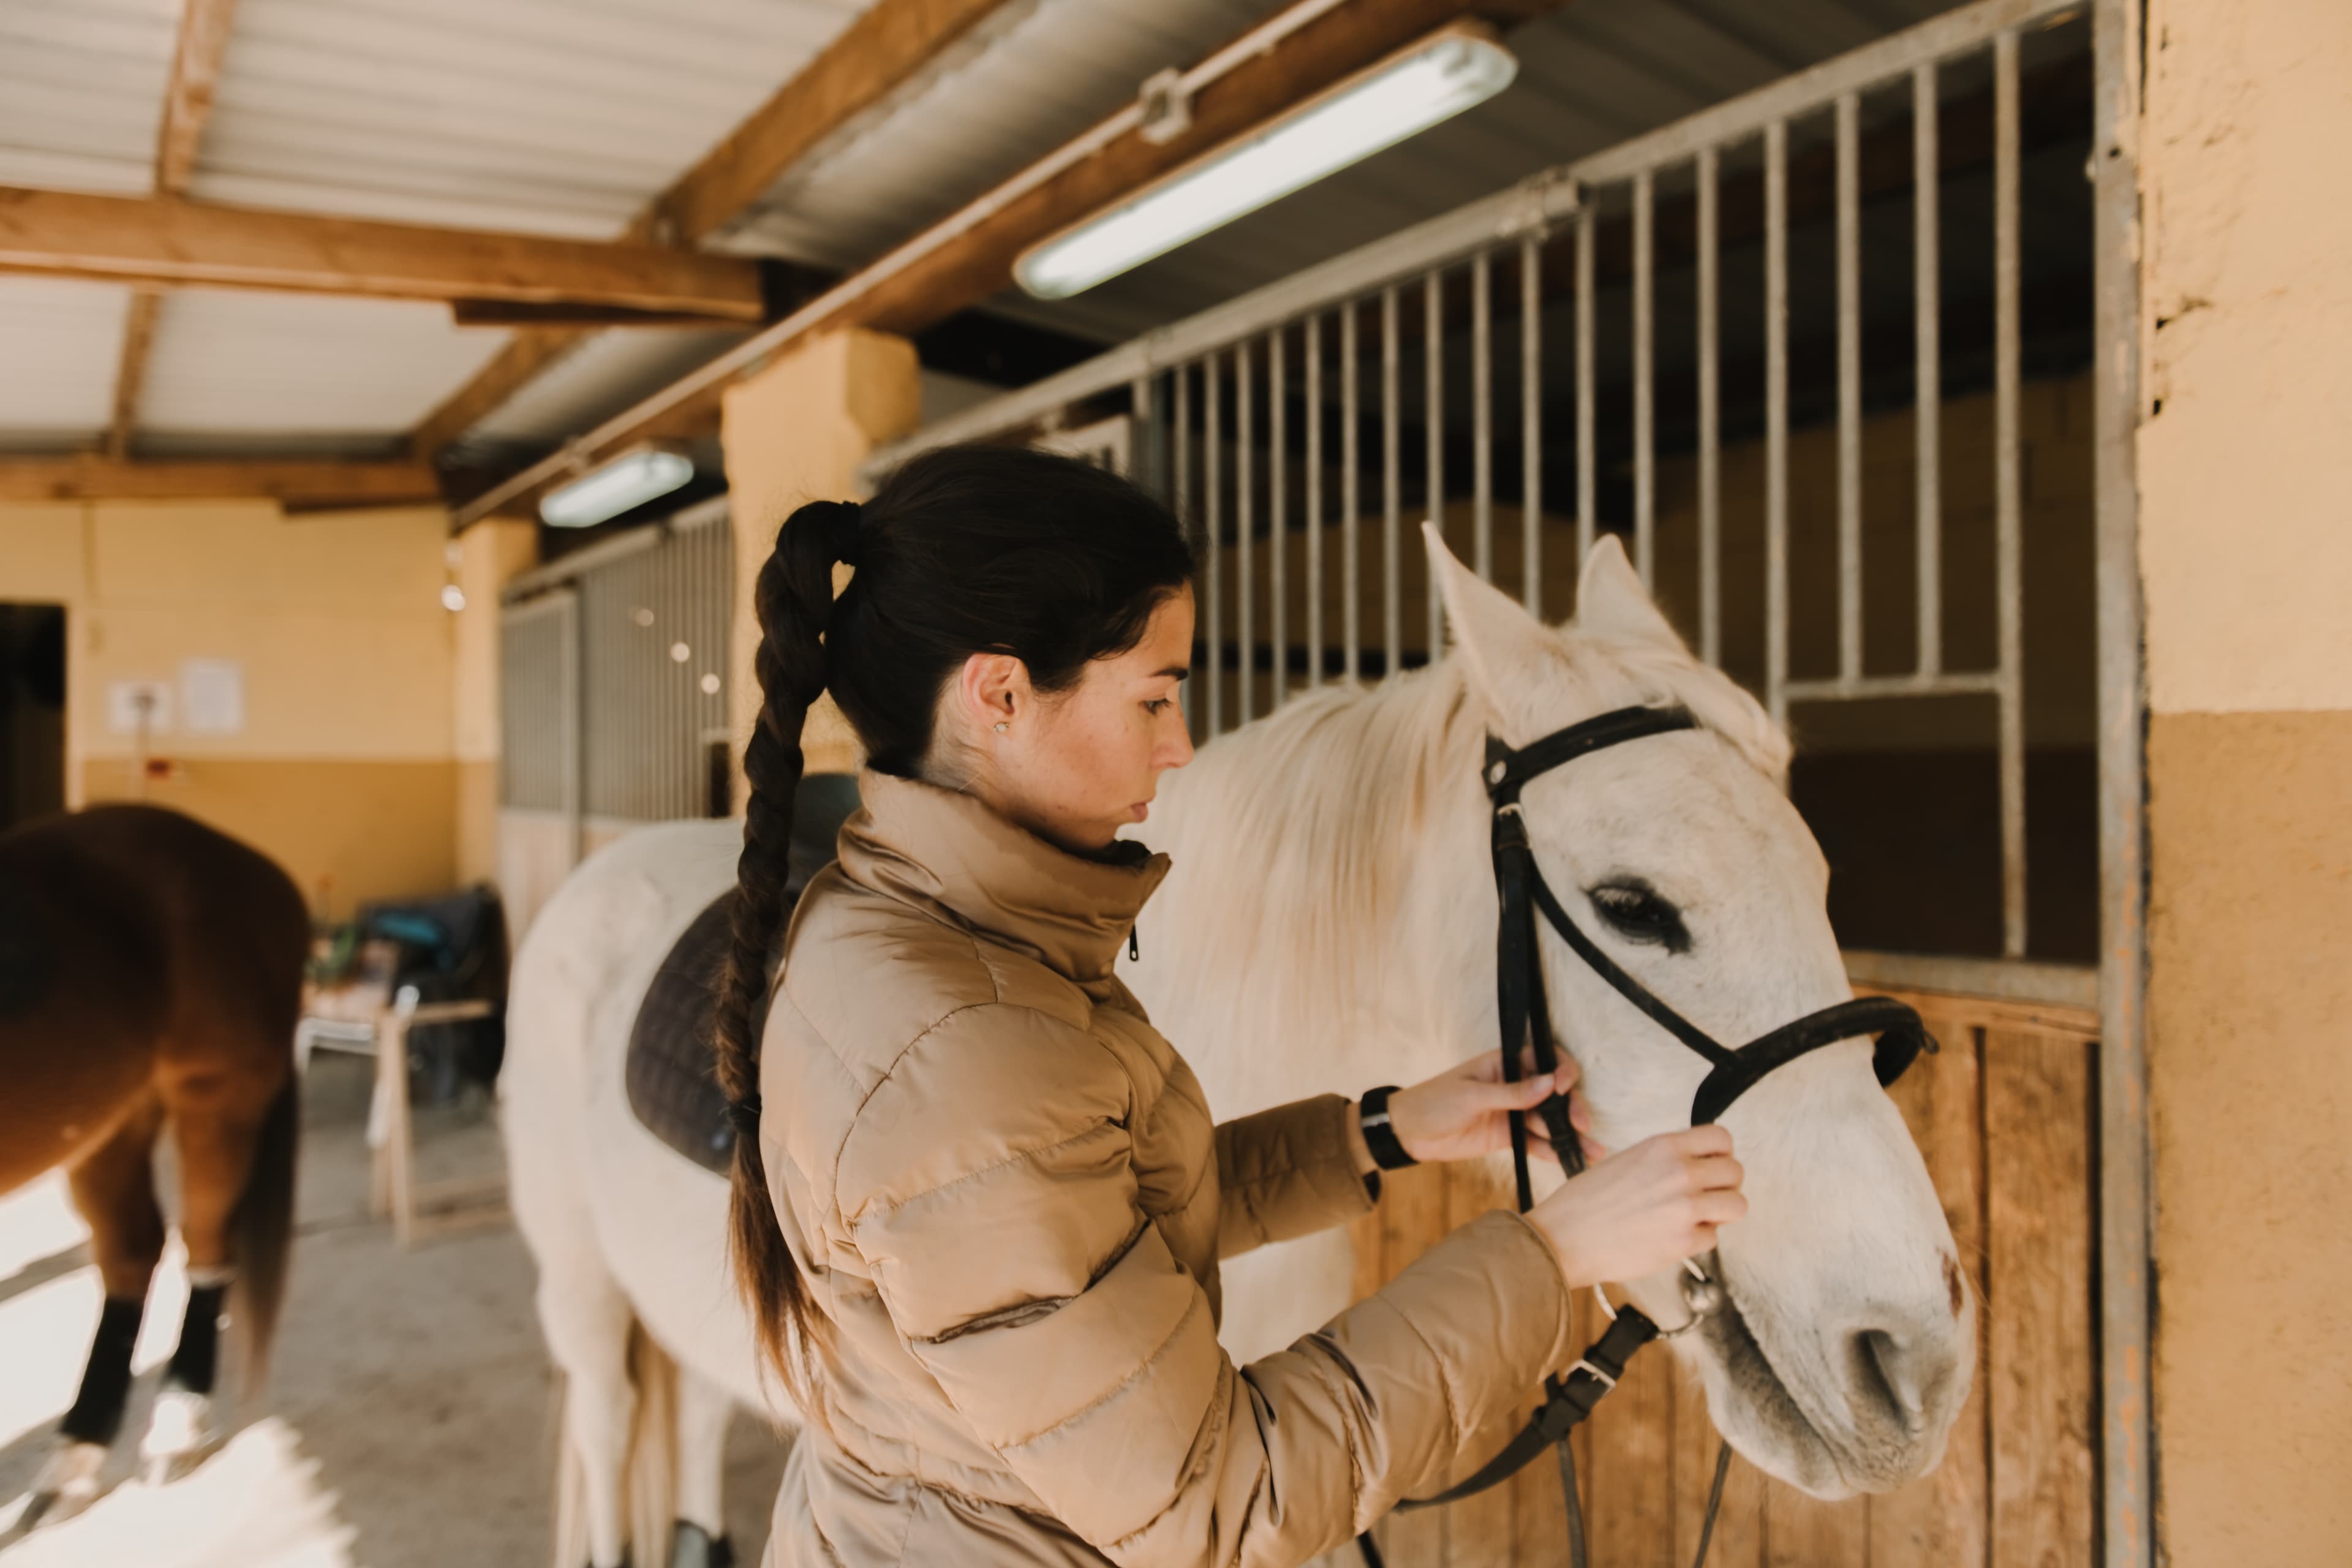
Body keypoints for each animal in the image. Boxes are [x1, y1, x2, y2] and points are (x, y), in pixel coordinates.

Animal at [0, 804, 308, 1523]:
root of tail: (260, 869)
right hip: (108, 1120)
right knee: (133, 1254)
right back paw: (78, 1453)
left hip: (216, 1100)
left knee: (205, 1247)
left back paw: (175, 1420)